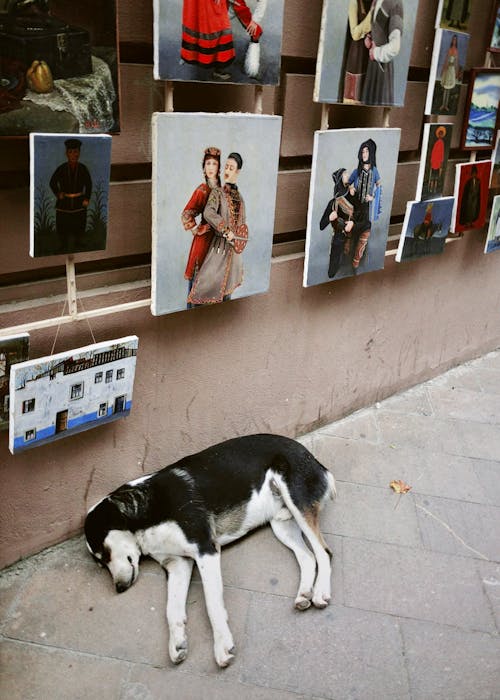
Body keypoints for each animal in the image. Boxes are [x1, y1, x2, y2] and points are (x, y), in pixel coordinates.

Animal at [85, 432, 336, 668]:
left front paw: (223, 646)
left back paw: (320, 592)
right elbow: (171, 610)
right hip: (281, 525)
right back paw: (304, 594)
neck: (144, 514)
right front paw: (177, 643)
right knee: (308, 557)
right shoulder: (177, 564)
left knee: (324, 553)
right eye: (100, 563)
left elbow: (212, 603)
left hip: (297, 502)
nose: (118, 588)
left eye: (105, 553)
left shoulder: (205, 550)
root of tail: (315, 461)